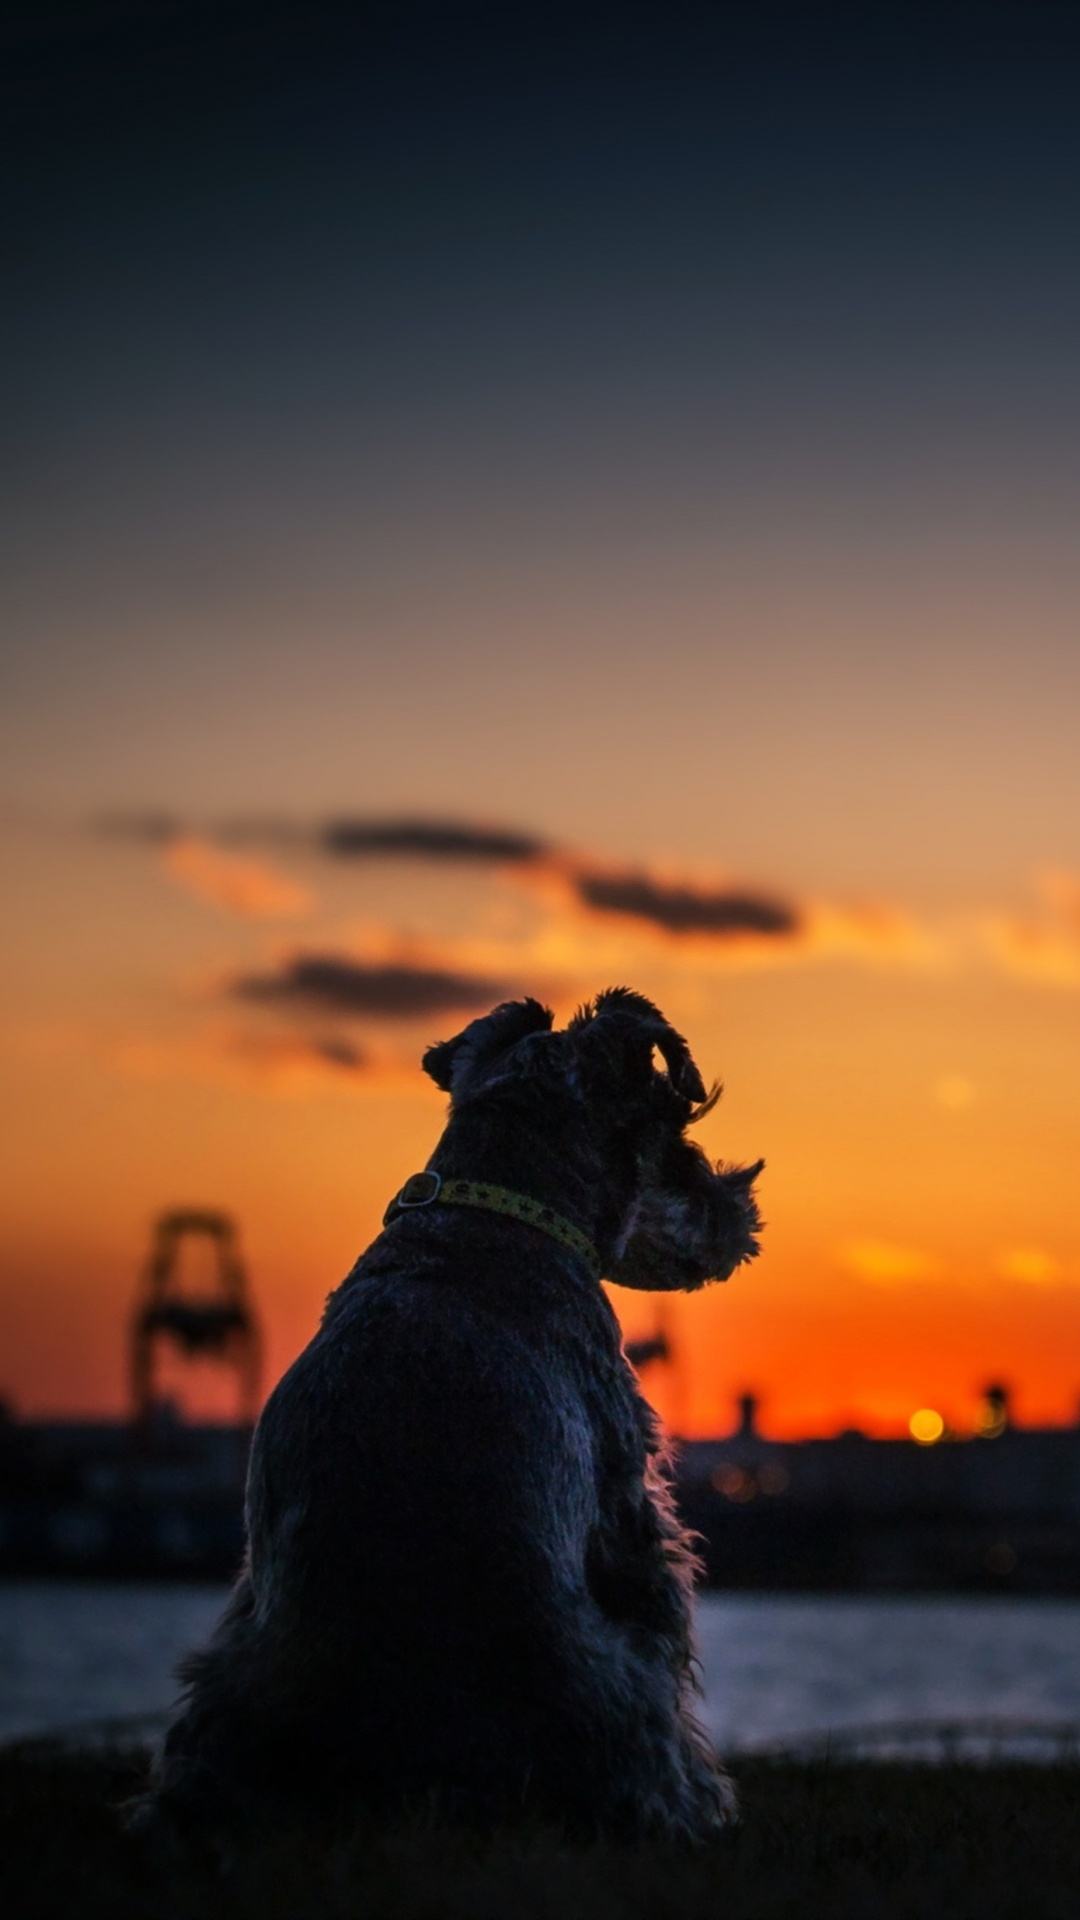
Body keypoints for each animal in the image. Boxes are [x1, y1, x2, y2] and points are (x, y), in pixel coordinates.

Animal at [136, 990, 757, 1843]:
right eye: (674, 1126)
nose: (737, 1212)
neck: (493, 1208)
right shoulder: (628, 1512)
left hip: (220, 1683)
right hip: (610, 1683)